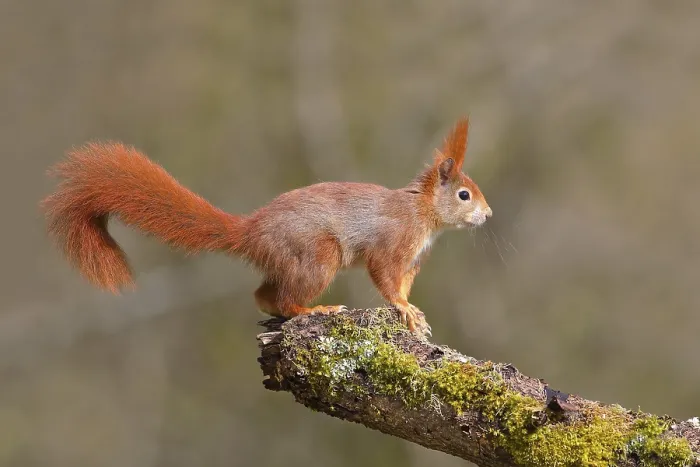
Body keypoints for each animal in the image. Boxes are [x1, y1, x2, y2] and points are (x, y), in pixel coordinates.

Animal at [41, 117, 491, 335]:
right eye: (464, 195)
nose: (488, 215)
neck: (424, 216)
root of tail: (250, 232)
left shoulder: (414, 260)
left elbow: (404, 285)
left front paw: (415, 313)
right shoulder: (392, 243)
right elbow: (385, 278)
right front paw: (404, 309)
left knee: (262, 294)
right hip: (317, 255)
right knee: (286, 297)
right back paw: (315, 308)